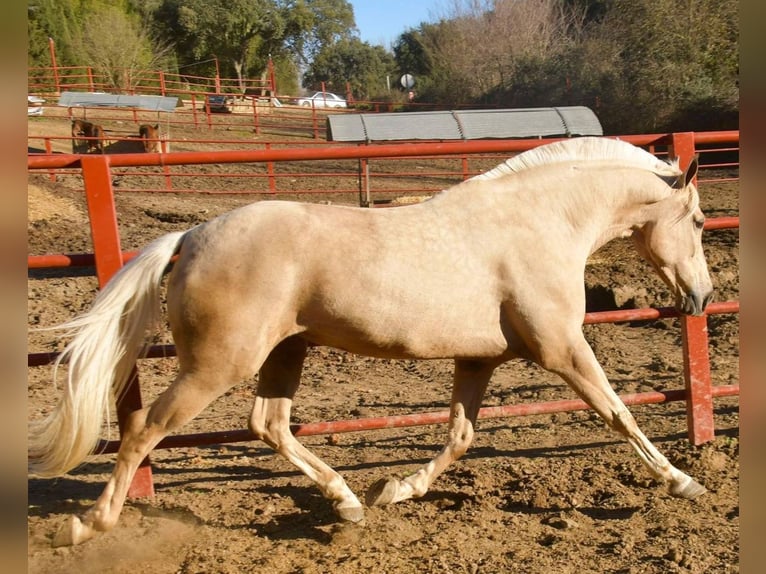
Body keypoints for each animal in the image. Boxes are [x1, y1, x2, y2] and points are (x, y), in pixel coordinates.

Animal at [28, 137, 712, 548]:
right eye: (702, 222)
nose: (703, 297)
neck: (542, 223)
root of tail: (192, 235)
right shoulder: (562, 348)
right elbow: (618, 412)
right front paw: (683, 482)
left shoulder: (479, 358)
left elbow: (460, 436)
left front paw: (397, 489)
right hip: (218, 364)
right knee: (145, 429)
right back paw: (88, 525)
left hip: (285, 352)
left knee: (268, 423)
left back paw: (349, 501)